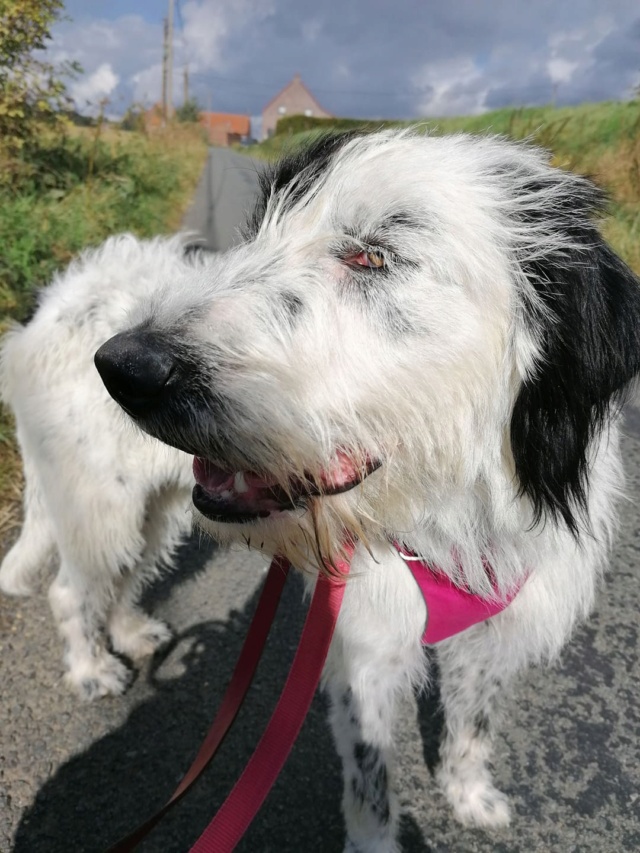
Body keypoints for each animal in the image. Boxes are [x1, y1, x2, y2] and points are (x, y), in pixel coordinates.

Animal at [0, 235, 196, 700]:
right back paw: (91, 671)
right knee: (68, 594)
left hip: (147, 506)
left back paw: (131, 634)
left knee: (123, 576)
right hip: (98, 507)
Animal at [94, 130, 640, 848]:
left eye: (372, 256)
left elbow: (474, 722)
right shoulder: (366, 648)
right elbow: (372, 779)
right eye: (257, 233)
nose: (125, 367)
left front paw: (469, 792)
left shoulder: (501, 628)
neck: (445, 516)